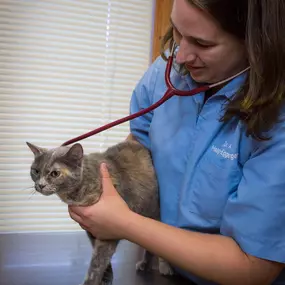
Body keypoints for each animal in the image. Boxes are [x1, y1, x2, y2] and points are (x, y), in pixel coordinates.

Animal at [26, 140, 172, 284]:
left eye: (55, 173)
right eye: (36, 171)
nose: (40, 185)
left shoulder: (107, 228)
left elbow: (97, 262)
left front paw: (91, 281)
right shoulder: (91, 228)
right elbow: (101, 258)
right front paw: (107, 278)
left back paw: (164, 266)